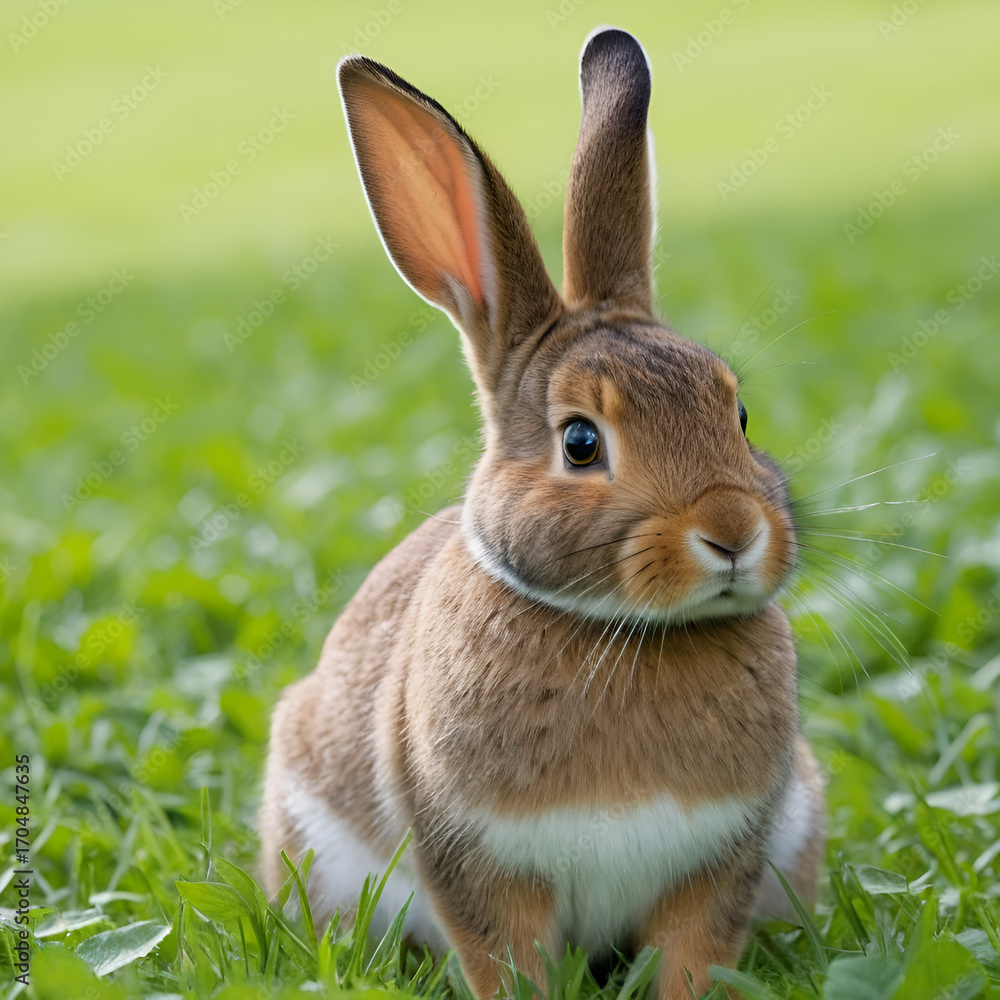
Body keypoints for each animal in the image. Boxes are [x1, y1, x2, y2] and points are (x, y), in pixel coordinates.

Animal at [260, 25, 826, 1000]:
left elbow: (694, 953)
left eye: (740, 414)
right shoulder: (475, 866)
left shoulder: (721, 863)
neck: (622, 629)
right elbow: (507, 958)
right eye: (581, 442)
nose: (733, 533)